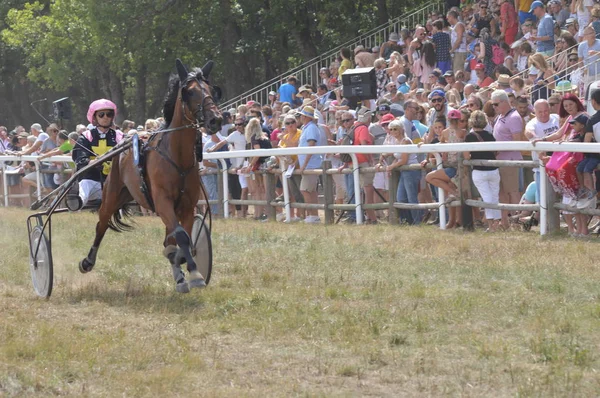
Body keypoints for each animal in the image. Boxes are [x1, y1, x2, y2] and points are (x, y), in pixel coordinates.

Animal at [77, 59, 221, 296]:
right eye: (190, 92)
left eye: (211, 90)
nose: (215, 119)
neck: (177, 157)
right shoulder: (162, 201)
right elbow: (181, 237)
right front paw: (195, 274)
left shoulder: (186, 206)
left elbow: (181, 238)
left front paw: (184, 267)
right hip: (111, 195)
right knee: (101, 224)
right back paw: (87, 261)